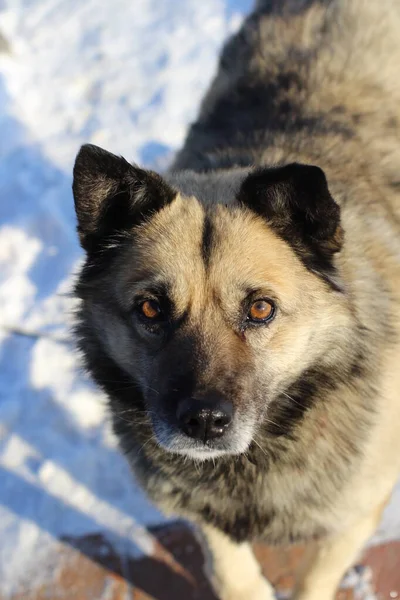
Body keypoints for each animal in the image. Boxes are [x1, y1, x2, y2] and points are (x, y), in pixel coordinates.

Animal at [72, 2, 400, 596]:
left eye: (261, 309)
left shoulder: (356, 516)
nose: (203, 423)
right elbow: (231, 569)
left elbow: (315, 578)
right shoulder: (197, 506)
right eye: (151, 309)